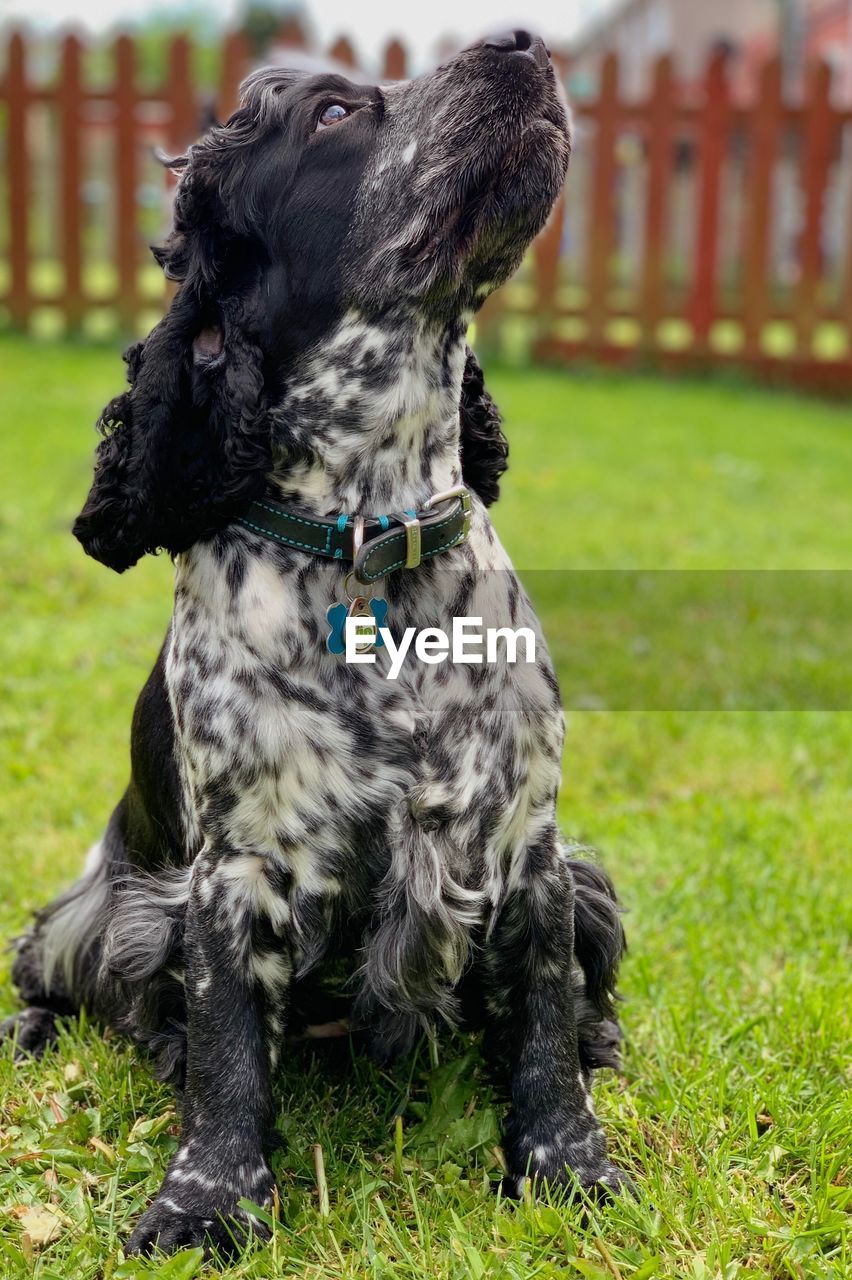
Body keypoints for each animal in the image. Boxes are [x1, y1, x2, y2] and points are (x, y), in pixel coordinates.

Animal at [1, 32, 624, 1259]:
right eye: (335, 114)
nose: (523, 42)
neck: (376, 541)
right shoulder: (233, 873)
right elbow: (230, 1051)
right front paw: (204, 1202)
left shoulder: (528, 845)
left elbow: (539, 1014)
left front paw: (568, 1164)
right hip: (104, 907)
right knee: (54, 967)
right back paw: (40, 1033)